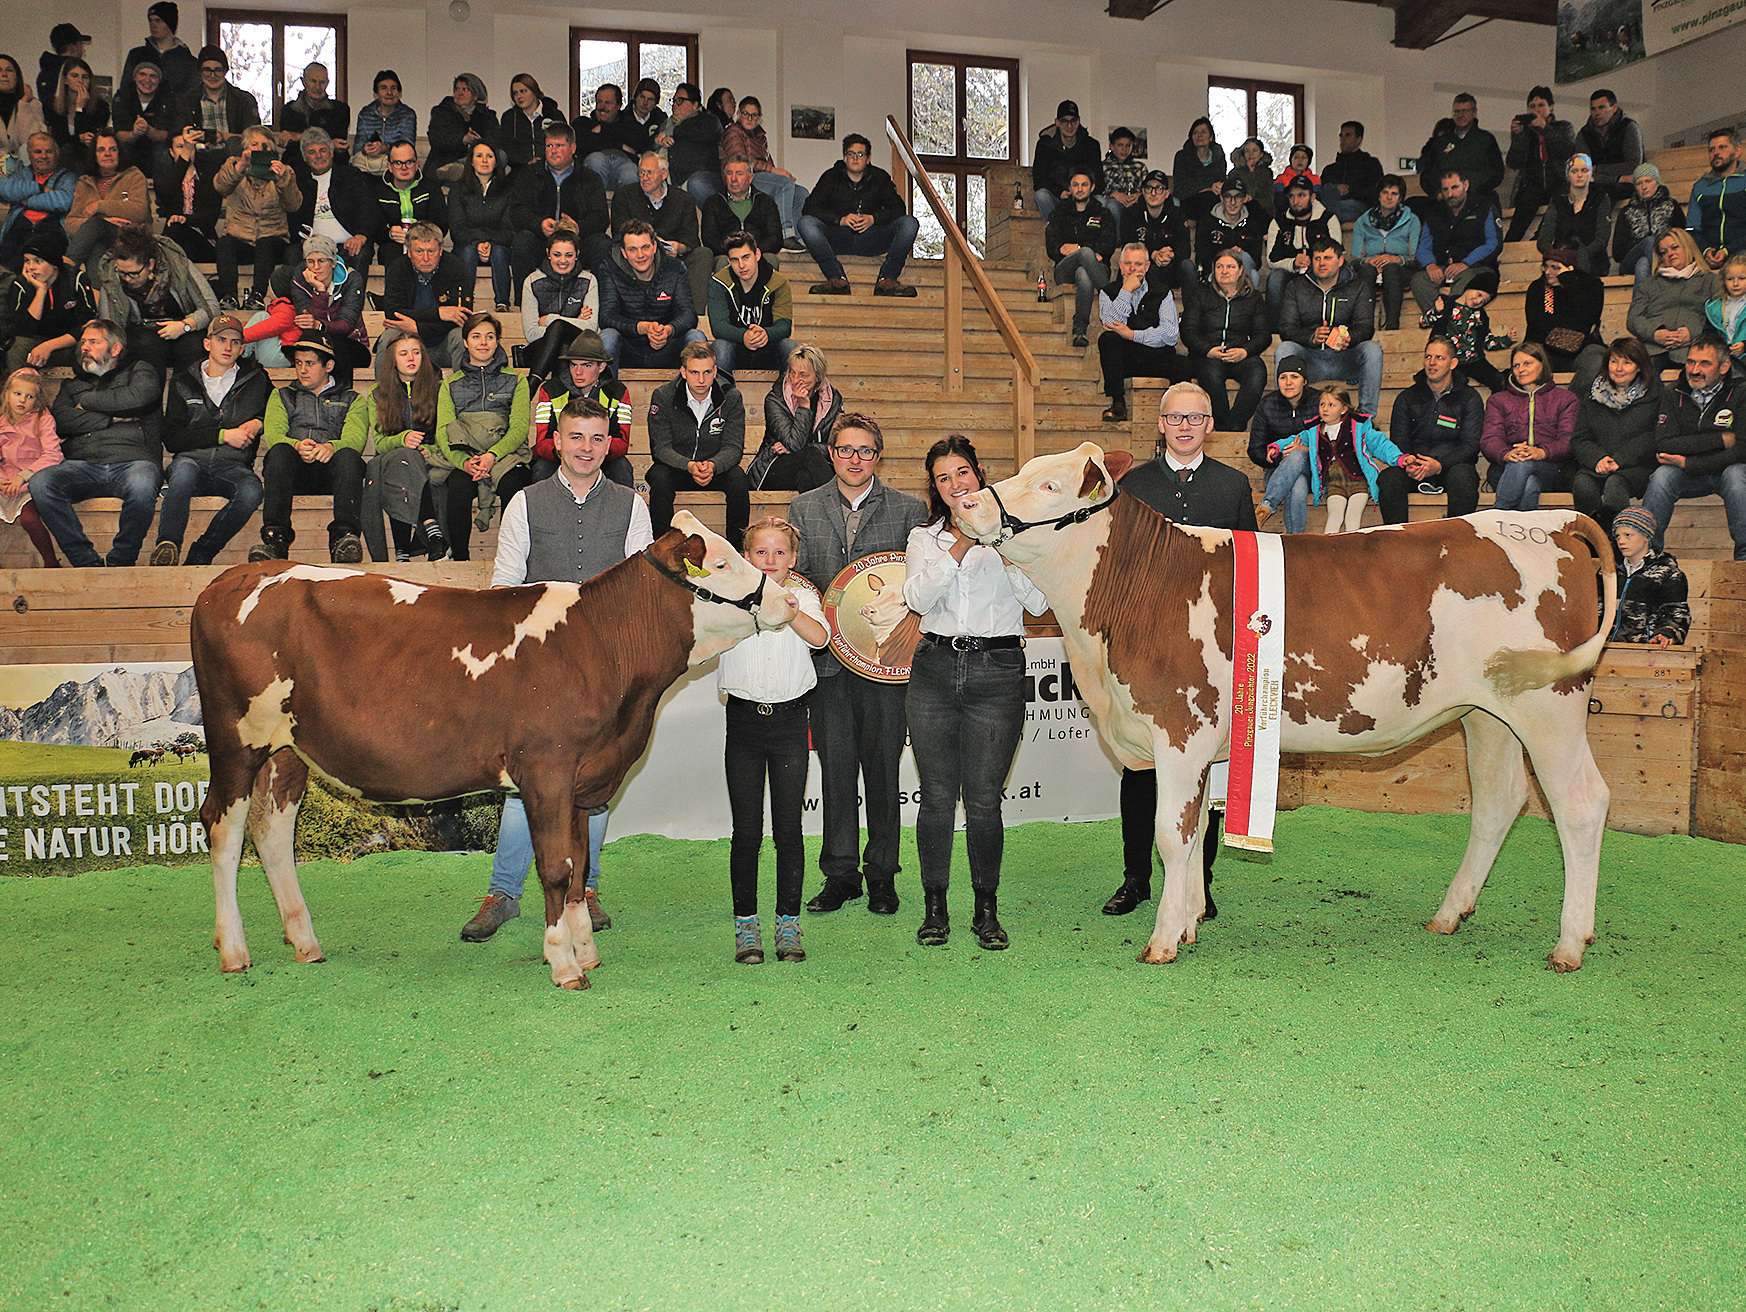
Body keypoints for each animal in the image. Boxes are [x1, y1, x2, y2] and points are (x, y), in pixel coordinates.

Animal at [192, 506, 799, 992]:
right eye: (720, 564)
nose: (788, 599)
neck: (598, 644)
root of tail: (235, 577)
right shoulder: (547, 768)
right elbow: (555, 867)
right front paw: (564, 965)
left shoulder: (582, 777)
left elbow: (579, 867)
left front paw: (587, 951)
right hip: (235, 740)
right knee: (222, 828)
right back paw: (234, 950)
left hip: (288, 751)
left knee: (272, 832)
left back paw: (305, 942)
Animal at [963, 447, 1613, 971]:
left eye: (1050, 485)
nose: (967, 501)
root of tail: (1550, 520)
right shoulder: (1201, 744)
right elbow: (1194, 834)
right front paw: (1191, 923)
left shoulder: (1179, 729)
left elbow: (1172, 835)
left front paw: (1164, 941)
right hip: (1489, 713)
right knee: (1499, 801)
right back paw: (1451, 913)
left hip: (1550, 705)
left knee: (1581, 803)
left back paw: (1570, 944)